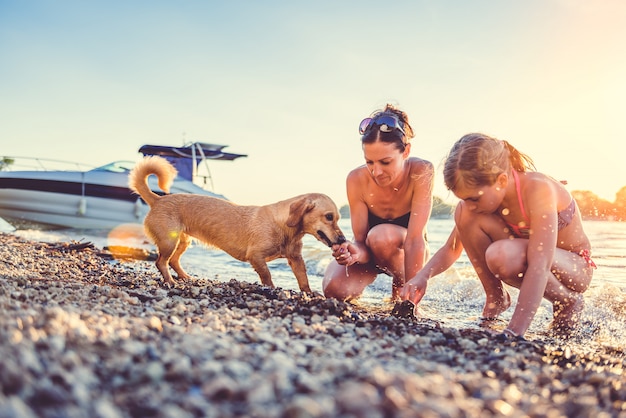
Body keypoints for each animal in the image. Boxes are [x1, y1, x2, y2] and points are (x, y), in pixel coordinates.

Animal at [128, 155, 346, 292]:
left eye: (337, 218)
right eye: (329, 217)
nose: (343, 240)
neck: (285, 227)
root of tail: (158, 199)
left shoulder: (296, 259)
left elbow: (304, 279)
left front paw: (309, 294)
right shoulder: (256, 256)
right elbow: (267, 275)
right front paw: (271, 289)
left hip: (183, 241)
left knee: (173, 261)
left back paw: (185, 277)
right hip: (169, 241)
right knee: (161, 262)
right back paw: (170, 281)